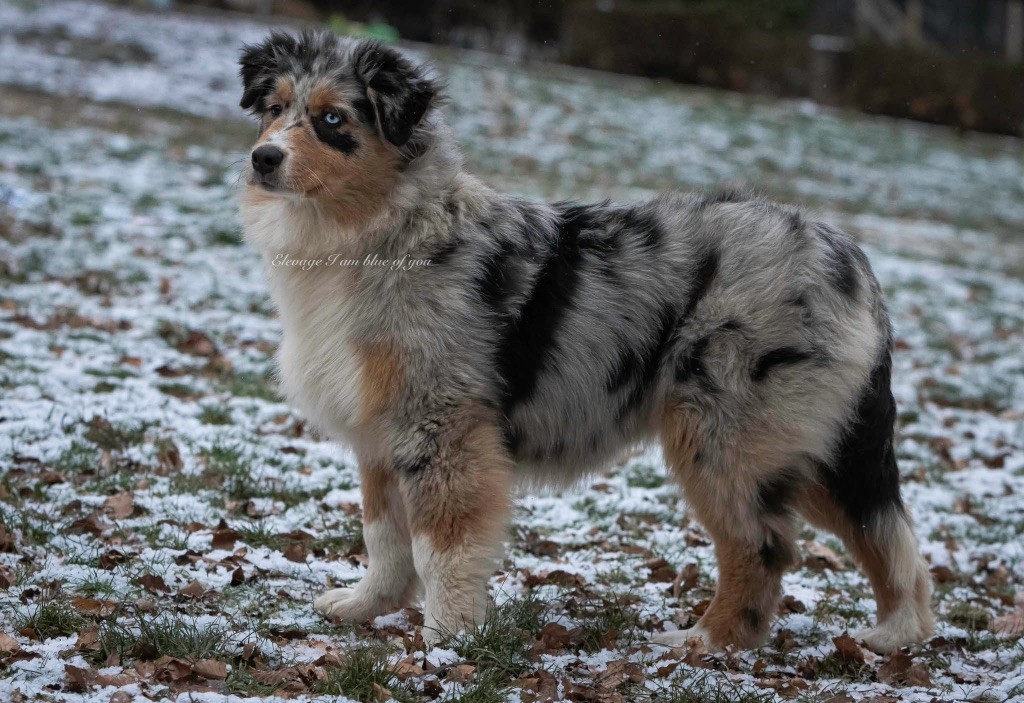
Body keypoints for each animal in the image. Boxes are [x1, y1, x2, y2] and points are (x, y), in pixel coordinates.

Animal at [235, 30, 933, 650]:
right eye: (273, 110)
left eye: (331, 119)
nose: (263, 158)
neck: (381, 231)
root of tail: (850, 260)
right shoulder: (379, 433)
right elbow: (384, 538)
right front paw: (364, 606)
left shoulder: (443, 429)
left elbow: (441, 550)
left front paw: (445, 642)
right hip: (816, 446)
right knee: (888, 533)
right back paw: (896, 635)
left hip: (724, 438)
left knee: (761, 547)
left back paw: (703, 642)